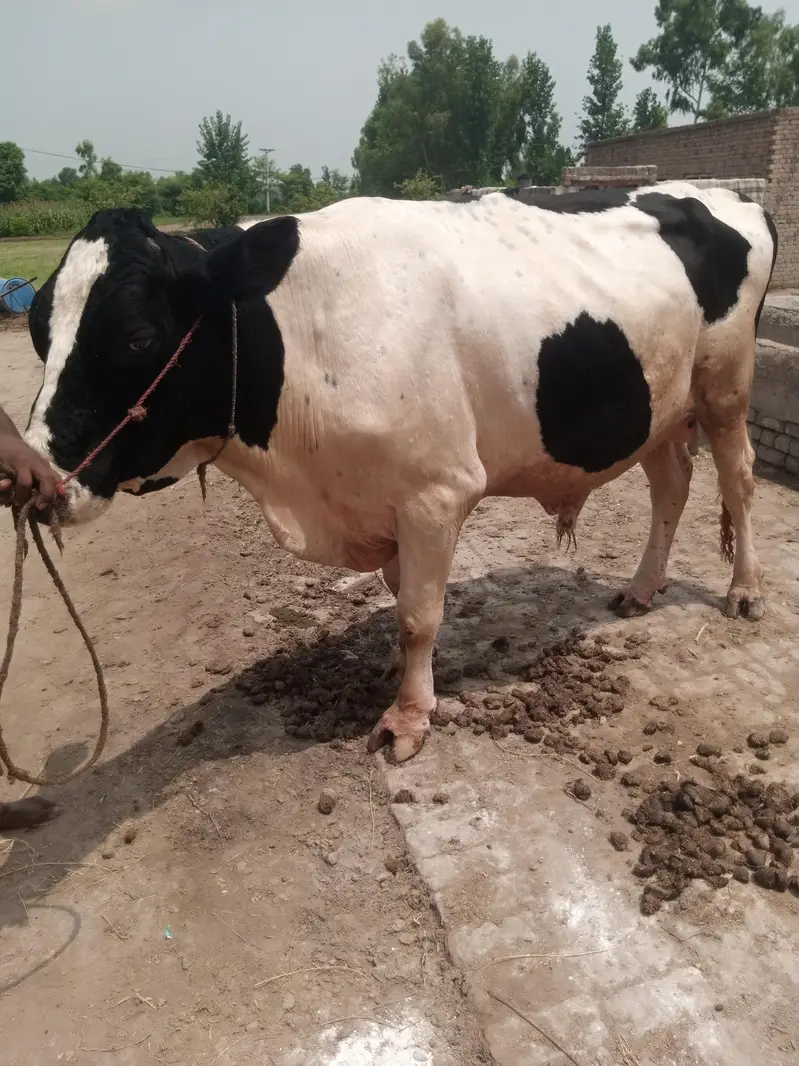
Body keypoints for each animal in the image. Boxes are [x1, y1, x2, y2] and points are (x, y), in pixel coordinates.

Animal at [23, 182, 777, 763]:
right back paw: (641, 589)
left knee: (737, 482)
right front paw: (393, 668)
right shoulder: (382, 498)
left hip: (725, 386)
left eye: (136, 337)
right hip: (657, 404)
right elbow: (396, 598)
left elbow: (419, 614)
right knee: (671, 486)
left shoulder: (434, 493)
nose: (38, 482)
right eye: (37, 330)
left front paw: (408, 716)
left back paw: (744, 590)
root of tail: (725, 196)